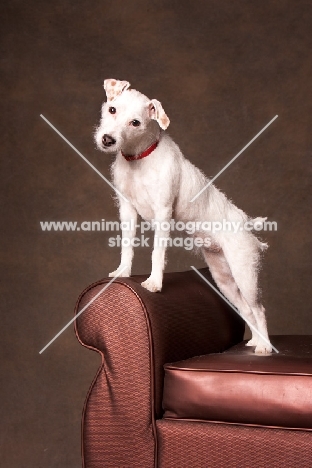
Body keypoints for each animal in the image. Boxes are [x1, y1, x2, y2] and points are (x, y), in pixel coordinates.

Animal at [94, 78, 272, 352]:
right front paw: (122, 271)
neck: (140, 157)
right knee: (247, 311)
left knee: (259, 309)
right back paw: (255, 341)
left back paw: (265, 348)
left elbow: (157, 252)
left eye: (135, 122)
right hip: (224, 280)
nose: (107, 139)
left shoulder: (163, 211)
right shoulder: (127, 209)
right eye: (112, 109)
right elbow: (127, 246)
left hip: (245, 275)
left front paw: (154, 283)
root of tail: (246, 223)